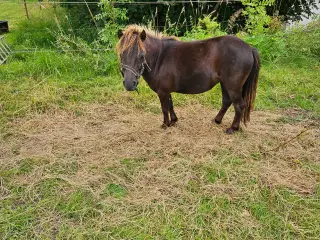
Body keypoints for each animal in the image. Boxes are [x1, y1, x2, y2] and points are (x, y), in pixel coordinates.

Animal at [117, 25, 260, 134]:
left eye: (141, 55)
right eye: (121, 54)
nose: (129, 84)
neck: (160, 57)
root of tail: (249, 48)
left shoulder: (162, 92)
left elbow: (164, 108)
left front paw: (165, 124)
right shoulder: (166, 91)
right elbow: (170, 105)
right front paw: (173, 121)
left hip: (232, 86)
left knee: (239, 105)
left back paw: (233, 128)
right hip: (225, 84)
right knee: (227, 101)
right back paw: (217, 120)